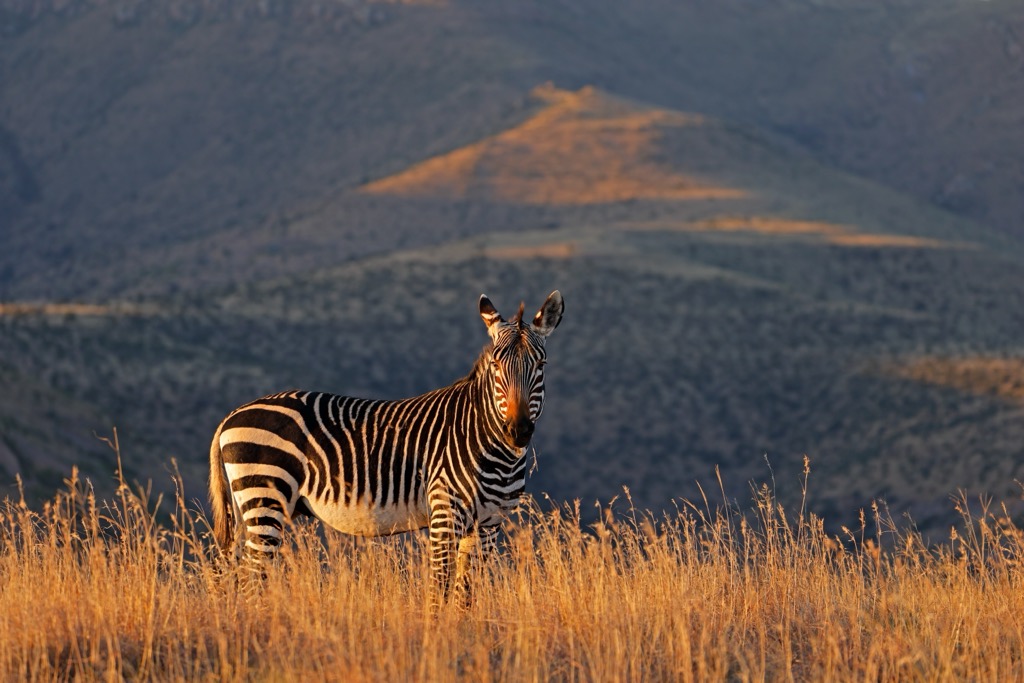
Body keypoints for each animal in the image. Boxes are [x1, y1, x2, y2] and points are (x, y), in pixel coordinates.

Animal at [204, 290, 565, 606]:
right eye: (496, 366)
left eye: (541, 365)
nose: (518, 431)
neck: (489, 445)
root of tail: (231, 416)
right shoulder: (445, 513)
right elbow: (439, 590)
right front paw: (437, 640)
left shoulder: (489, 523)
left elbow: (466, 594)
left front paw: (464, 637)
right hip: (265, 498)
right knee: (253, 579)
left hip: (249, 506)